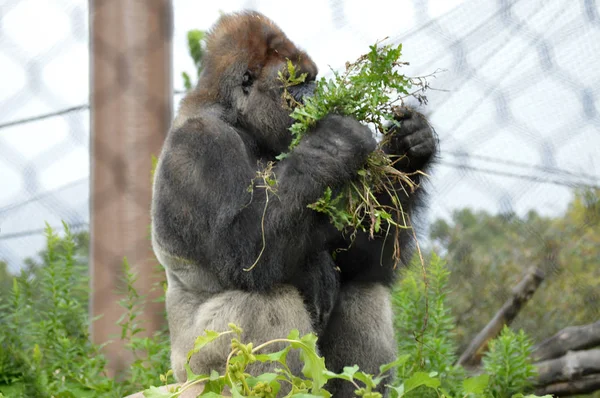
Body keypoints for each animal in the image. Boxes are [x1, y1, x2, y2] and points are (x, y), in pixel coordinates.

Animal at [152, 10, 436, 398]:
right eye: (297, 81)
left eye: (312, 78)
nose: (317, 93)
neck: (236, 116)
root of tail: (179, 378)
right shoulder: (199, 144)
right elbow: (245, 250)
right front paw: (335, 141)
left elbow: (363, 258)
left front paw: (407, 150)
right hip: (200, 375)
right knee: (265, 300)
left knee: (362, 288)